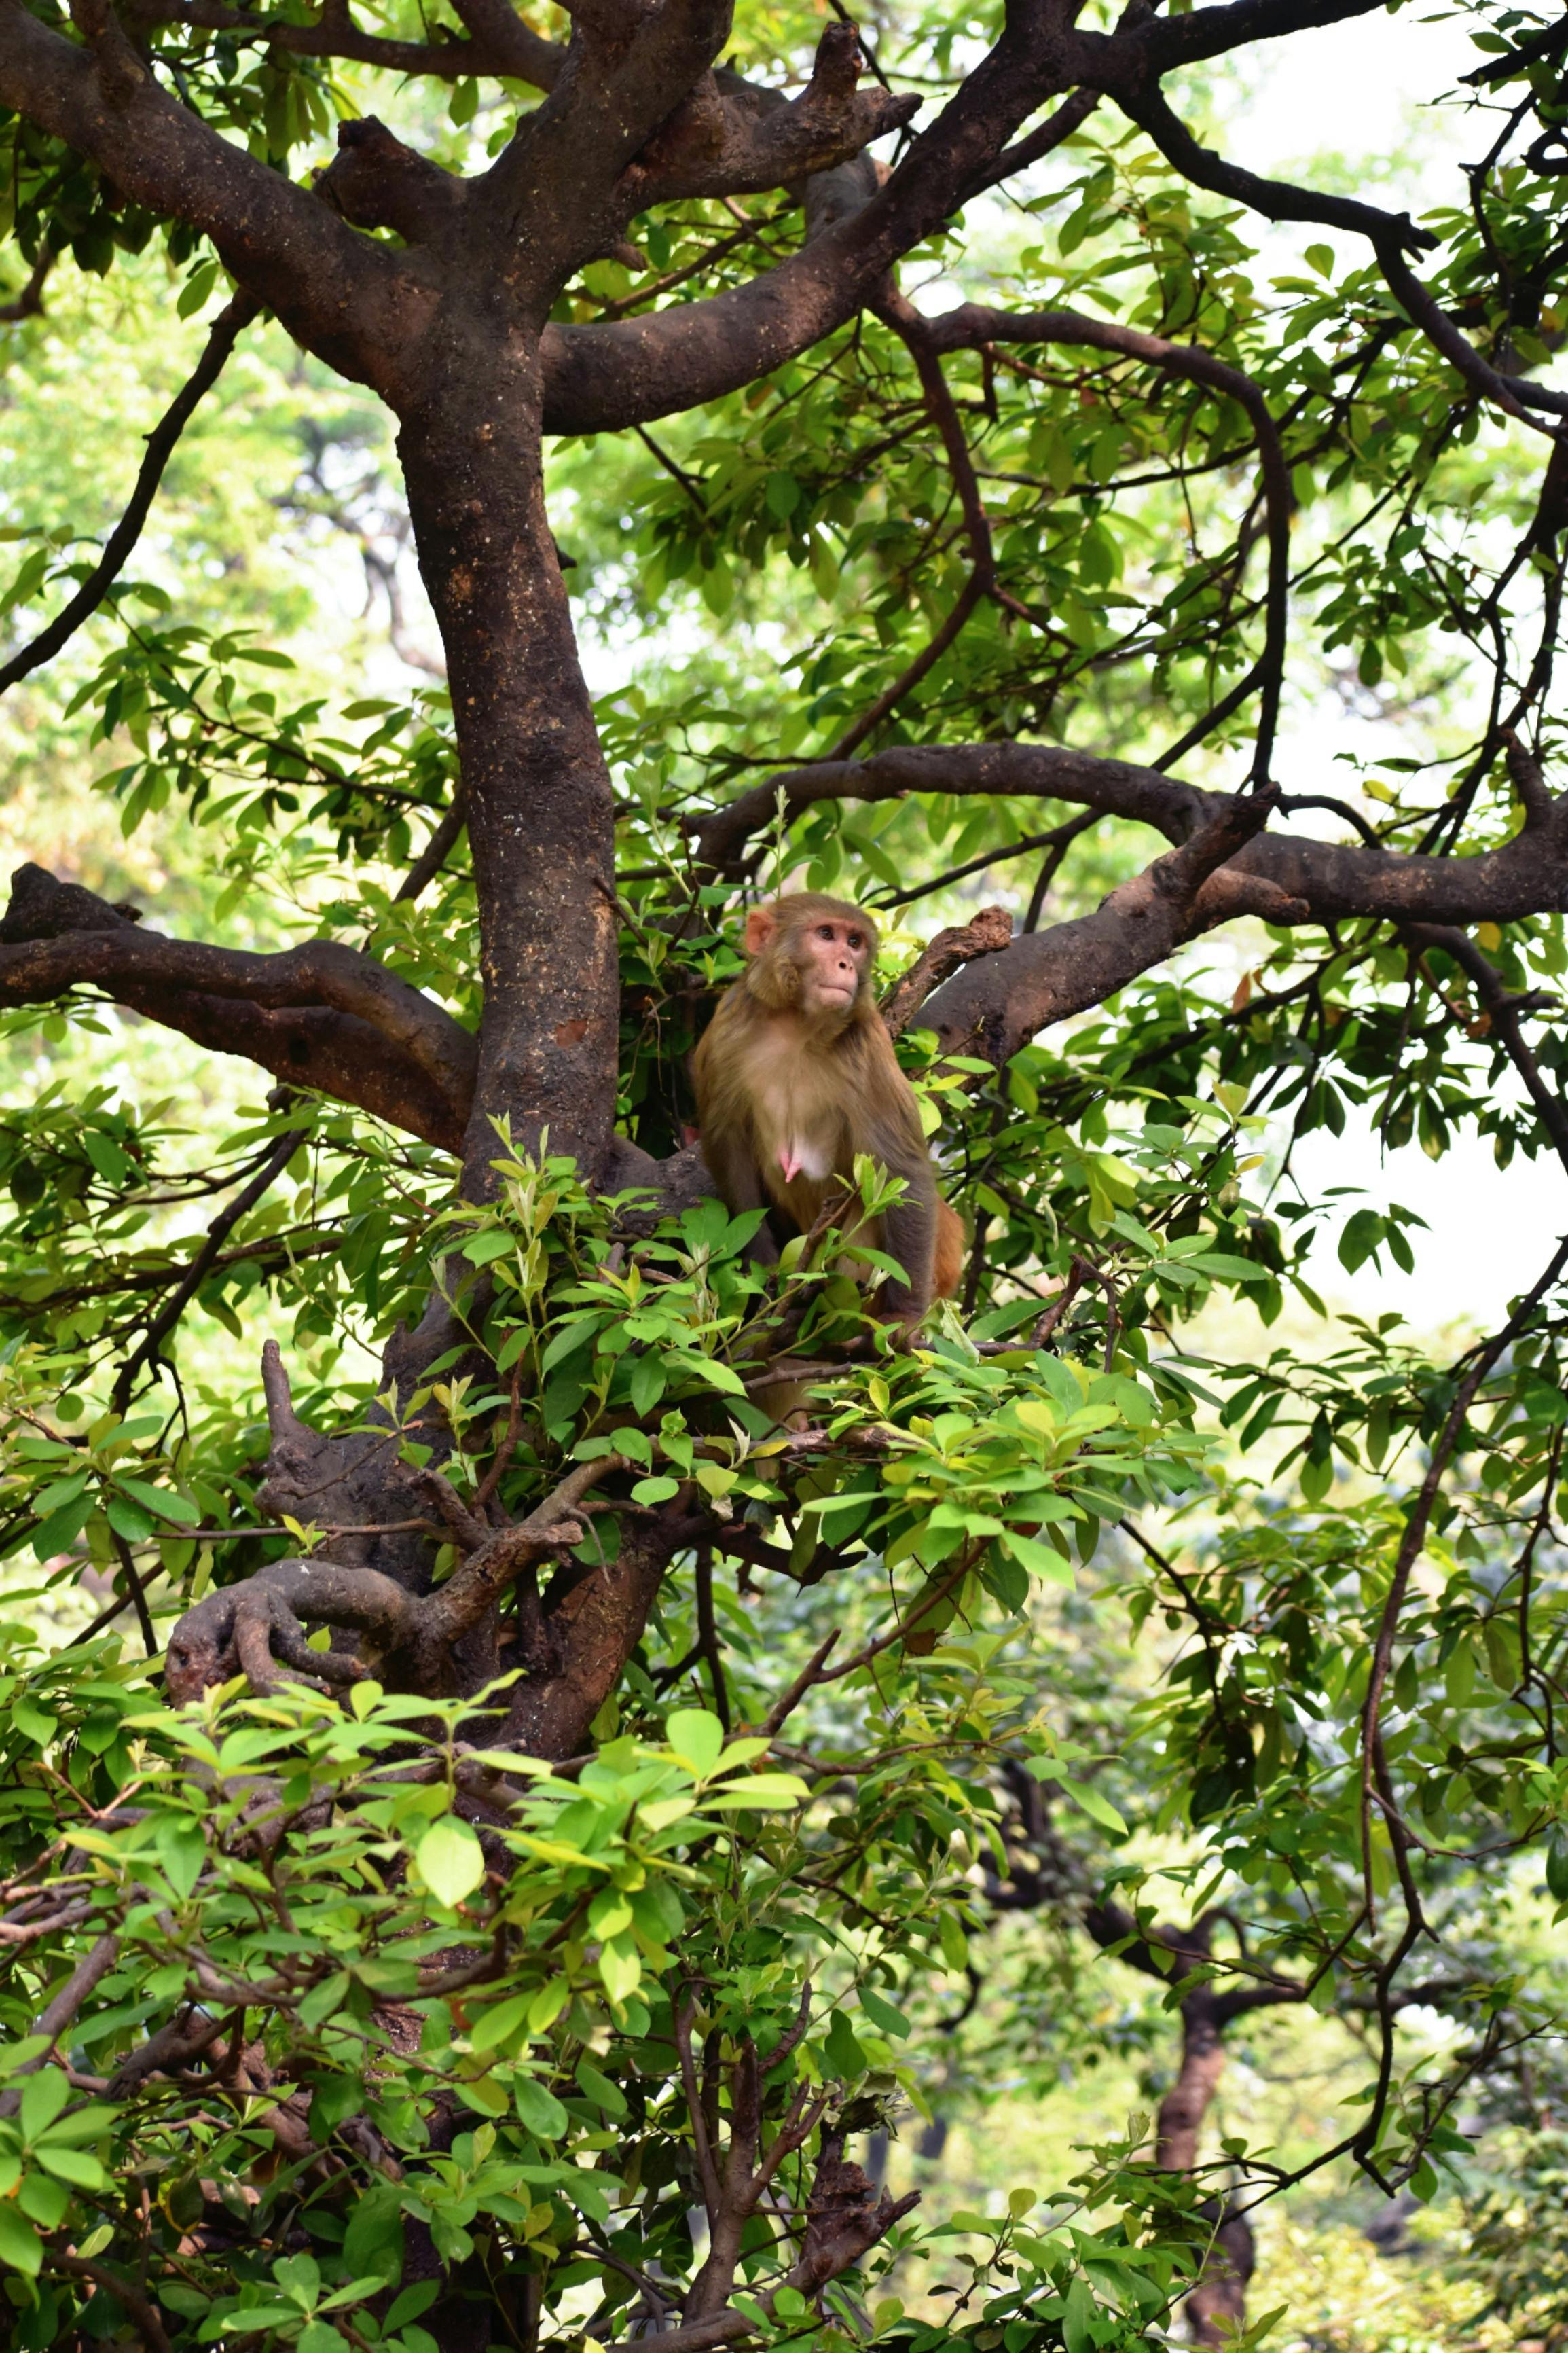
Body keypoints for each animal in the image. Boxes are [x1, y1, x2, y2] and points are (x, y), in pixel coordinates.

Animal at [691, 884, 964, 1327]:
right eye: (825, 935)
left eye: (854, 942)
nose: (845, 964)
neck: (796, 1023)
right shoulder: (727, 1029)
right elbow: (727, 1141)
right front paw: (762, 1266)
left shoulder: (867, 1043)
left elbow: (900, 1166)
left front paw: (903, 1315)